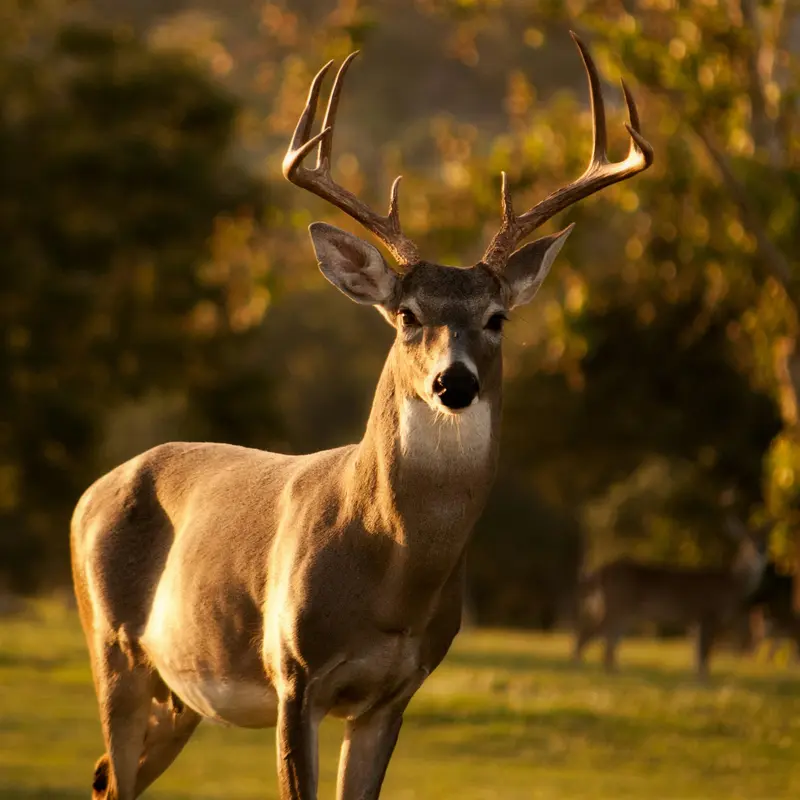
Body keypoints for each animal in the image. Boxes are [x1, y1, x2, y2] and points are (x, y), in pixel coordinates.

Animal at [70, 34, 652, 800]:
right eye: (407, 314)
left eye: (497, 318)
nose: (454, 382)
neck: (390, 572)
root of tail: (89, 494)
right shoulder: (294, 675)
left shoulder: (394, 694)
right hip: (111, 647)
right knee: (111, 768)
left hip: (178, 692)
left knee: (112, 777)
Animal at [573, 517, 770, 678]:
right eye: (748, 540)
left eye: (766, 538)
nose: (760, 550)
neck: (732, 584)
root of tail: (599, 572)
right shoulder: (707, 613)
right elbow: (704, 652)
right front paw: (704, 681)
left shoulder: (695, 620)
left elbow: (696, 652)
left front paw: (695, 678)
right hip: (617, 604)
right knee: (590, 633)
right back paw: (581, 668)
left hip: (620, 611)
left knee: (608, 639)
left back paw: (613, 672)